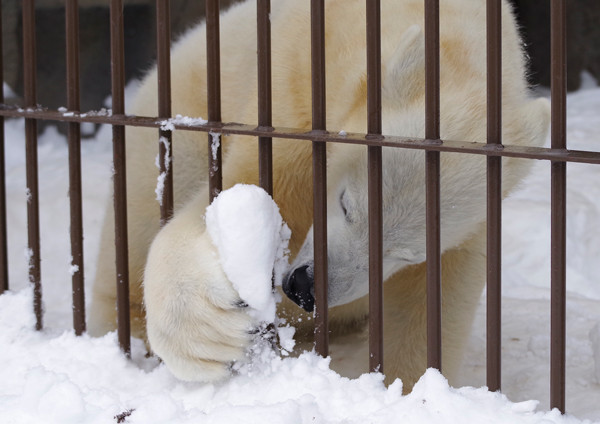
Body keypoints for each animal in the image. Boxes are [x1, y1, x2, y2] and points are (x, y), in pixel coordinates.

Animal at [88, 0, 548, 390]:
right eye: (347, 205)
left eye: (406, 253)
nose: (305, 288)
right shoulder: (294, 89)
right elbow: (246, 192)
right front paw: (210, 333)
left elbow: (432, 300)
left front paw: (407, 388)